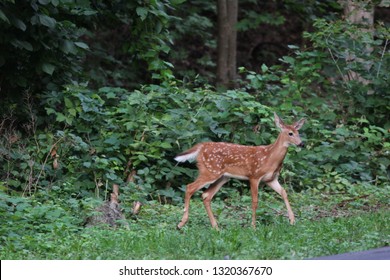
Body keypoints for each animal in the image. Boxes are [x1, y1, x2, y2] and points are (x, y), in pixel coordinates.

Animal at [174, 112, 304, 229]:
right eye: (290, 133)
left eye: (299, 133)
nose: (301, 144)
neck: (270, 157)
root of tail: (201, 146)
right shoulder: (254, 175)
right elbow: (255, 201)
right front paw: (253, 226)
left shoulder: (270, 179)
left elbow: (284, 192)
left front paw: (292, 220)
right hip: (210, 171)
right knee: (189, 187)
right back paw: (181, 223)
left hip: (222, 177)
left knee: (206, 195)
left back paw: (215, 227)